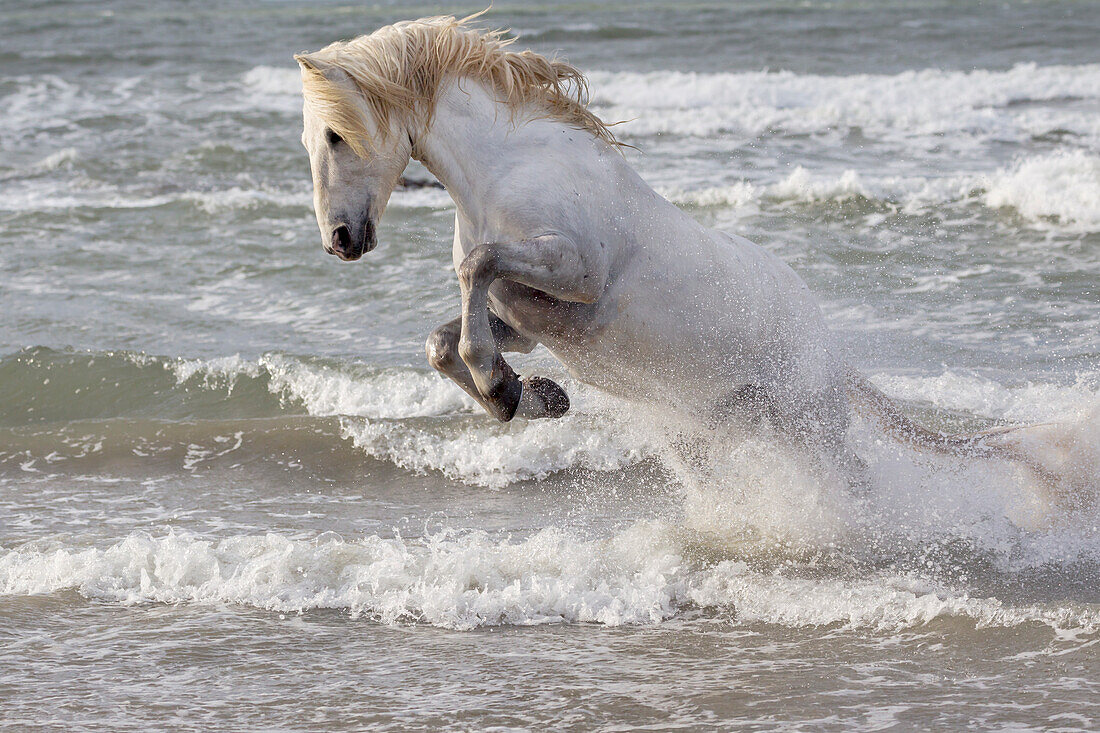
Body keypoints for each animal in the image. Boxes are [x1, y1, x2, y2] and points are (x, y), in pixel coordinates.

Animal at [294, 14, 1047, 482]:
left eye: (335, 135)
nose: (339, 242)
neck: (509, 169)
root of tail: (828, 345)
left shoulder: (576, 274)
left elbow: (476, 269)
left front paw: (504, 386)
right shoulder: (527, 315)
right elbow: (440, 338)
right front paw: (530, 396)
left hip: (807, 420)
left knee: (853, 477)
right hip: (738, 424)